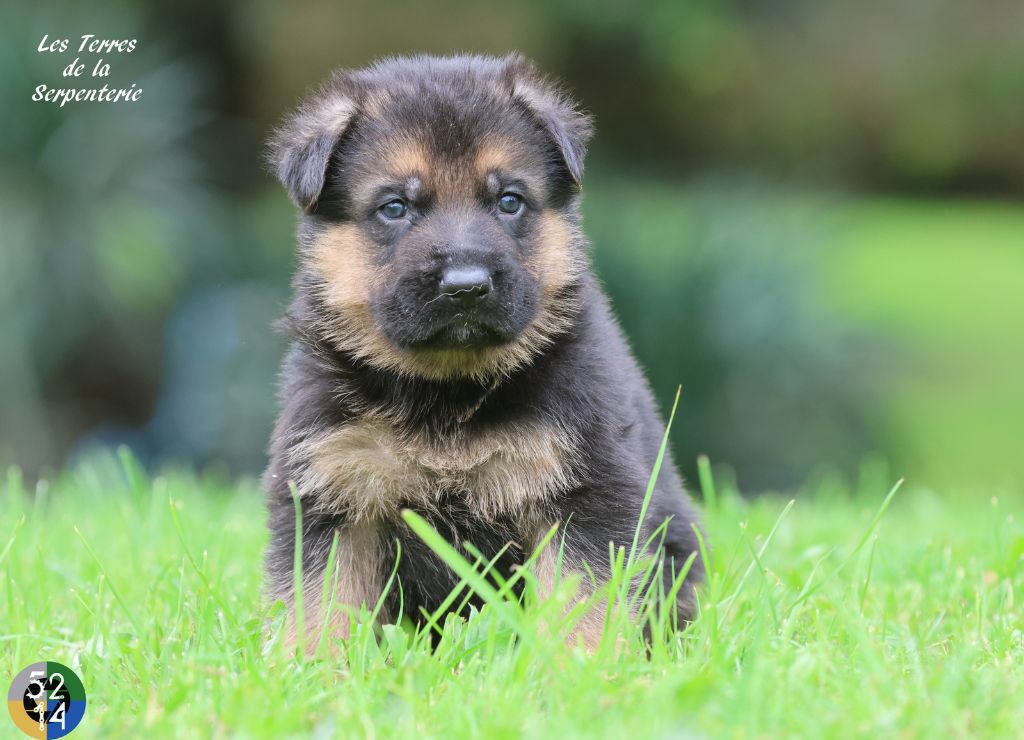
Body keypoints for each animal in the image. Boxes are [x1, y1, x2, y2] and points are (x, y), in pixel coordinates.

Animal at [262, 53, 704, 655]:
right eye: (395, 207)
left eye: (509, 200)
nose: (466, 286)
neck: (446, 393)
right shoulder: (331, 492)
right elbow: (318, 606)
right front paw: (309, 669)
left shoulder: (583, 492)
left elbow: (584, 602)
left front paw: (583, 668)